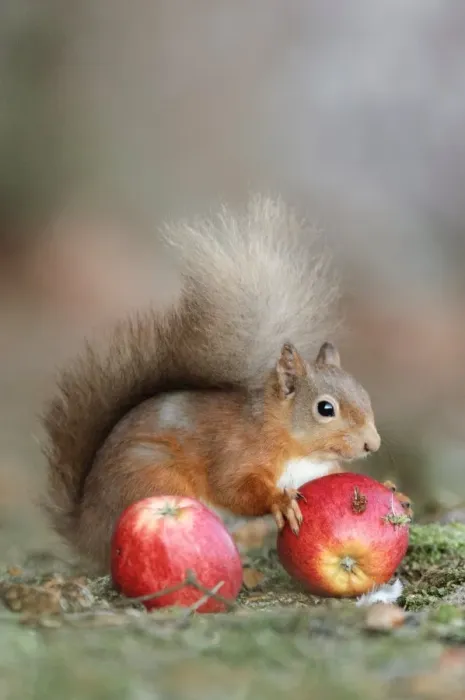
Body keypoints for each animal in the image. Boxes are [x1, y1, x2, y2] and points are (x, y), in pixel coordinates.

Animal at [41, 195, 413, 573]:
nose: (372, 444)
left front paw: (392, 490)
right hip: (152, 479)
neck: (295, 445)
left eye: (364, 395)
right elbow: (233, 489)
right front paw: (279, 501)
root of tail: (87, 532)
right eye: (325, 409)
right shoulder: (235, 453)